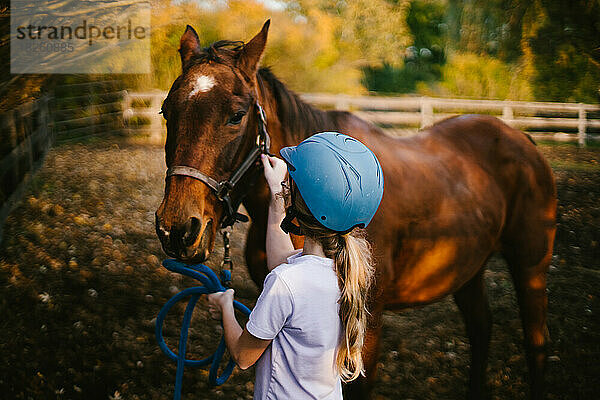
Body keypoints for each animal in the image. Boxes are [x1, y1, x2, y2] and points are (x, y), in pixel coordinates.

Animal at [156, 21, 556, 400]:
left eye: (236, 115)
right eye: (165, 111)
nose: (178, 229)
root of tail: (521, 139)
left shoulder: (366, 324)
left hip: (530, 268)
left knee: (536, 343)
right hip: (467, 269)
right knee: (480, 329)